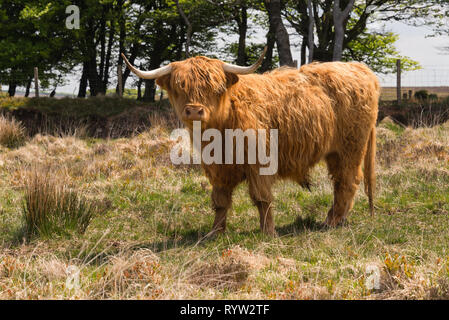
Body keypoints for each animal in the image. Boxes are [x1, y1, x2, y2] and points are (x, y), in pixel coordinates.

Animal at [122, 48, 378, 236]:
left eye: (214, 88)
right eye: (179, 86)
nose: (194, 110)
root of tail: (360, 69)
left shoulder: (259, 163)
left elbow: (262, 199)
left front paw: (268, 233)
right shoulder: (217, 168)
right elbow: (221, 201)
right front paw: (215, 233)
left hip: (350, 147)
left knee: (348, 181)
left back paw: (332, 222)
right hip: (336, 152)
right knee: (341, 182)